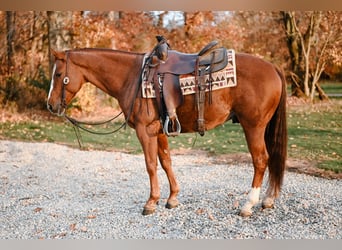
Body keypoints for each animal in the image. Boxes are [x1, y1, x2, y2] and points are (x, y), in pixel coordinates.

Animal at [46, 46, 286, 217]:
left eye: (58, 75)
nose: (50, 105)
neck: (131, 77)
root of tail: (273, 67)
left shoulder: (144, 131)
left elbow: (151, 165)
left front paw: (151, 202)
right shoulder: (160, 131)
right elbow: (166, 162)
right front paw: (172, 198)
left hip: (253, 126)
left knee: (260, 160)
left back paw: (248, 204)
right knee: (271, 158)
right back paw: (268, 199)